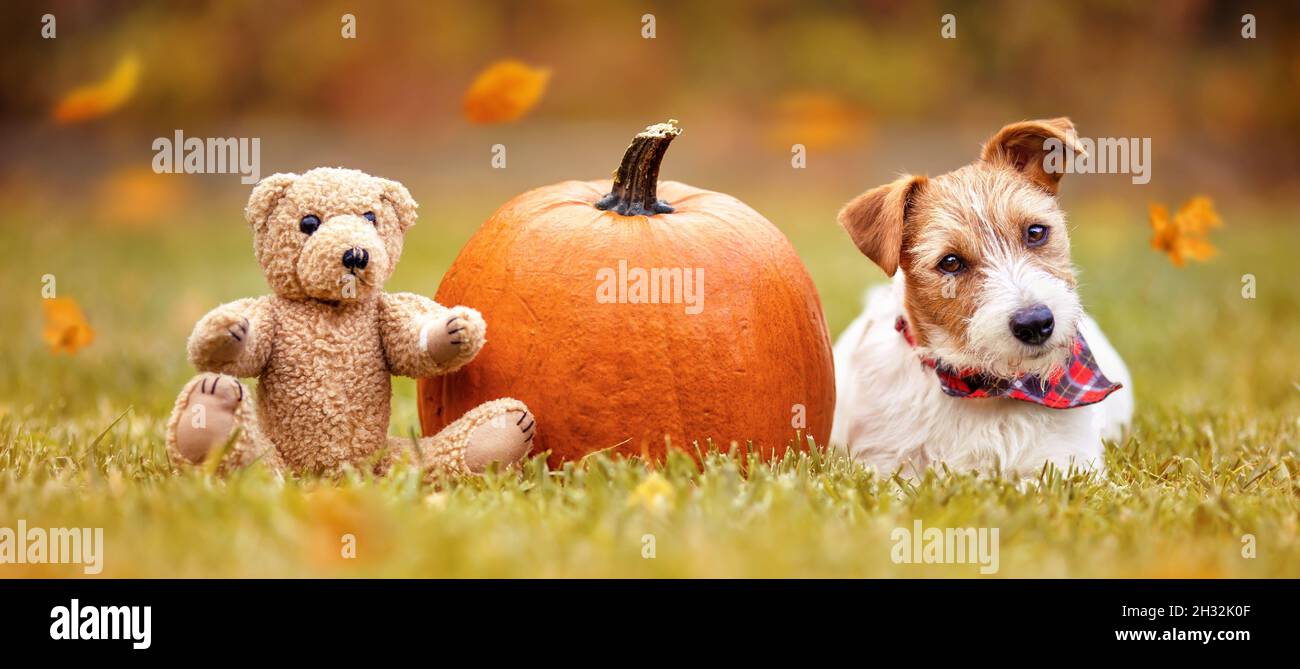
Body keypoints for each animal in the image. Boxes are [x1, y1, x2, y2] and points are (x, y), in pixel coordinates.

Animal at [832, 118, 1128, 475]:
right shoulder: (883, 464)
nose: (1035, 323)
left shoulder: (1067, 464)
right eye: (950, 262)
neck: (987, 386)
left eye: (1035, 232)